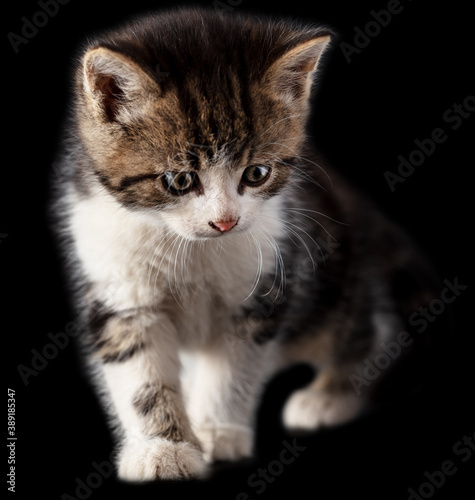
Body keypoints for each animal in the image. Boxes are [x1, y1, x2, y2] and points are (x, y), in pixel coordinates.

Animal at [52, 5, 438, 478]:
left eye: (256, 173)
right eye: (179, 180)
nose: (225, 221)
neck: (190, 246)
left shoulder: (266, 281)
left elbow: (232, 367)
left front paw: (216, 430)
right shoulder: (117, 282)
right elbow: (139, 371)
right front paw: (162, 447)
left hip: (340, 275)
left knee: (376, 330)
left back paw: (329, 396)